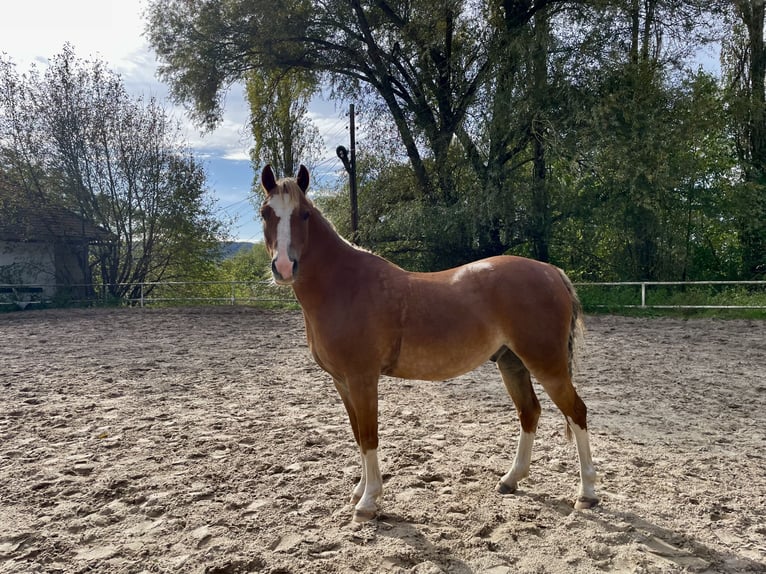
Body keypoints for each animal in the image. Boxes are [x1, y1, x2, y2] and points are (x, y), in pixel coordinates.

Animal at [262, 164, 600, 524]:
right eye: (266, 213)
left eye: (304, 214)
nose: (284, 267)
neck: (345, 285)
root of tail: (552, 272)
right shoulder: (342, 382)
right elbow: (357, 434)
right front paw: (359, 492)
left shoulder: (362, 378)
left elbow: (369, 435)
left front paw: (368, 501)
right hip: (513, 363)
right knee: (529, 412)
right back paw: (510, 479)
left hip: (547, 365)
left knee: (576, 412)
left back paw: (586, 494)